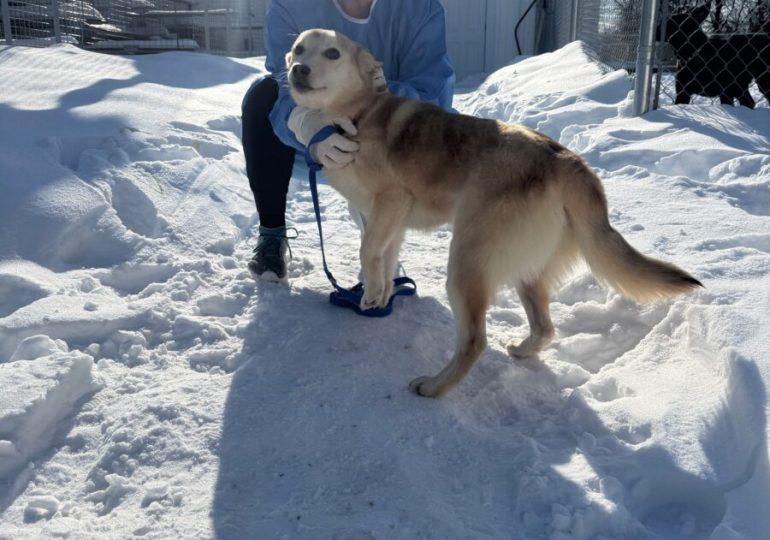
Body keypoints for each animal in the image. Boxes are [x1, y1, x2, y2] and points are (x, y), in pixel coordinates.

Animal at [284, 29, 704, 398]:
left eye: (332, 54)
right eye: (299, 48)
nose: (297, 69)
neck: (357, 114)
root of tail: (564, 158)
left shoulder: (391, 202)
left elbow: (368, 251)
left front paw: (372, 292)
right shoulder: (386, 220)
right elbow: (384, 261)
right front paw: (379, 295)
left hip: (466, 261)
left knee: (475, 340)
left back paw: (435, 387)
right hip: (527, 271)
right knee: (545, 328)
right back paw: (522, 350)